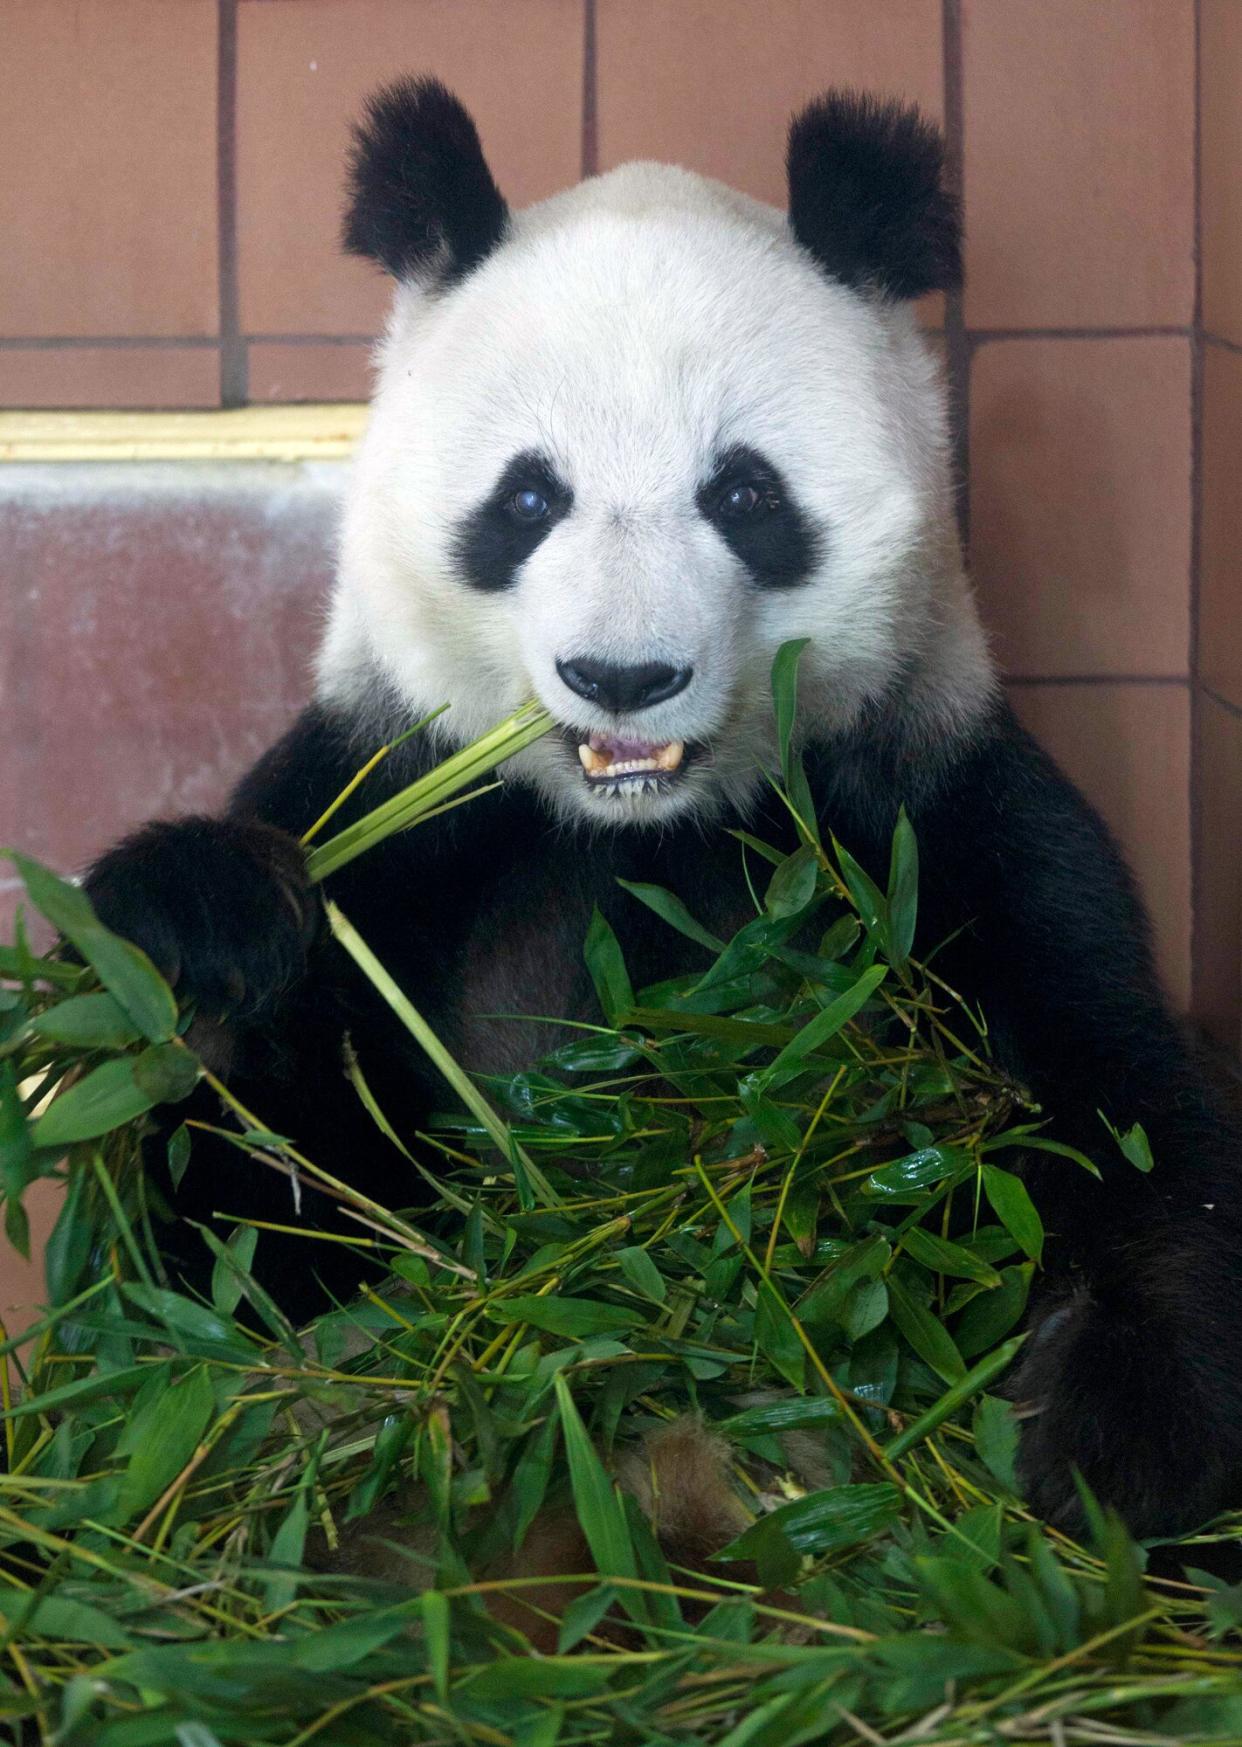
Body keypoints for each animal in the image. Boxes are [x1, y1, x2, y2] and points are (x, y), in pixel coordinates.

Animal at [85, 78, 1242, 1544]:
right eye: (528, 496)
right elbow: (249, 1231)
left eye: (743, 492)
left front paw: (1117, 1437)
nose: (623, 676)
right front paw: (199, 934)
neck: (646, 826)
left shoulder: (930, 816)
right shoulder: (404, 808)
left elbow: (1117, 1101)